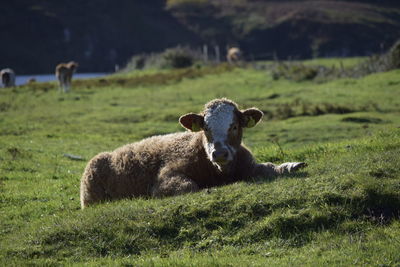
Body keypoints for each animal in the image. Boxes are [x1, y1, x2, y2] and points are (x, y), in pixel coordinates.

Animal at [81, 98, 306, 209]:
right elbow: (189, 186)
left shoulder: (248, 165)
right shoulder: (165, 179)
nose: (220, 153)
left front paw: (291, 166)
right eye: (205, 128)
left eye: (234, 126)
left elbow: (269, 168)